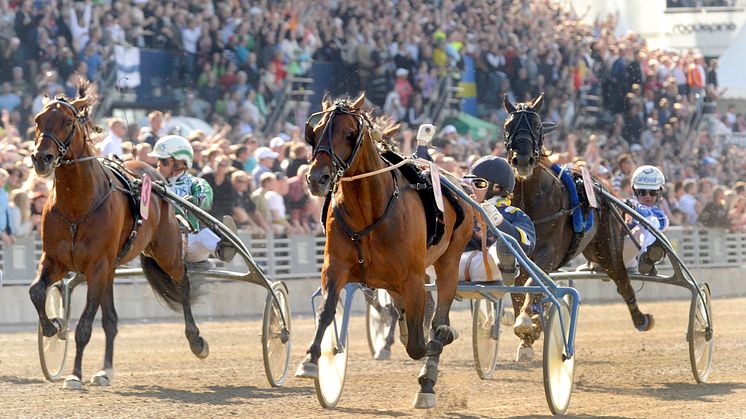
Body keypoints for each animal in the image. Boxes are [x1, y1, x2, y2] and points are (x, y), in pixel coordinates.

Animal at [28, 79, 209, 390]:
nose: (42, 158)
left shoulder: (97, 265)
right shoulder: (55, 260)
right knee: (111, 320)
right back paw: (105, 370)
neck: (78, 204)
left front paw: (74, 374)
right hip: (111, 268)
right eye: (38, 120)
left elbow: (84, 326)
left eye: (67, 121)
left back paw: (196, 340)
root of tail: (154, 176)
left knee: (182, 281)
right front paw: (53, 326)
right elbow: (37, 292)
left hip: (165, 251)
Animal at [292, 93, 470, 408]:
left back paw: (430, 372)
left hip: (449, 259)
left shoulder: (411, 278)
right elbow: (326, 311)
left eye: (348, 134)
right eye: (315, 132)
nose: (317, 179)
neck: (369, 210)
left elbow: (418, 344)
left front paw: (438, 343)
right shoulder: (335, 267)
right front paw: (311, 360)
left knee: (439, 314)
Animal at [500, 94, 652, 360]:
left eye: (537, 126)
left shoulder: (548, 252)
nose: (523, 159)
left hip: (607, 248)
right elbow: (519, 289)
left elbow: (531, 285)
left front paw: (528, 322)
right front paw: (528, 335)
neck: (530, 199)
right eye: (508, 126)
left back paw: (640, 318)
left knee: (622, 281)